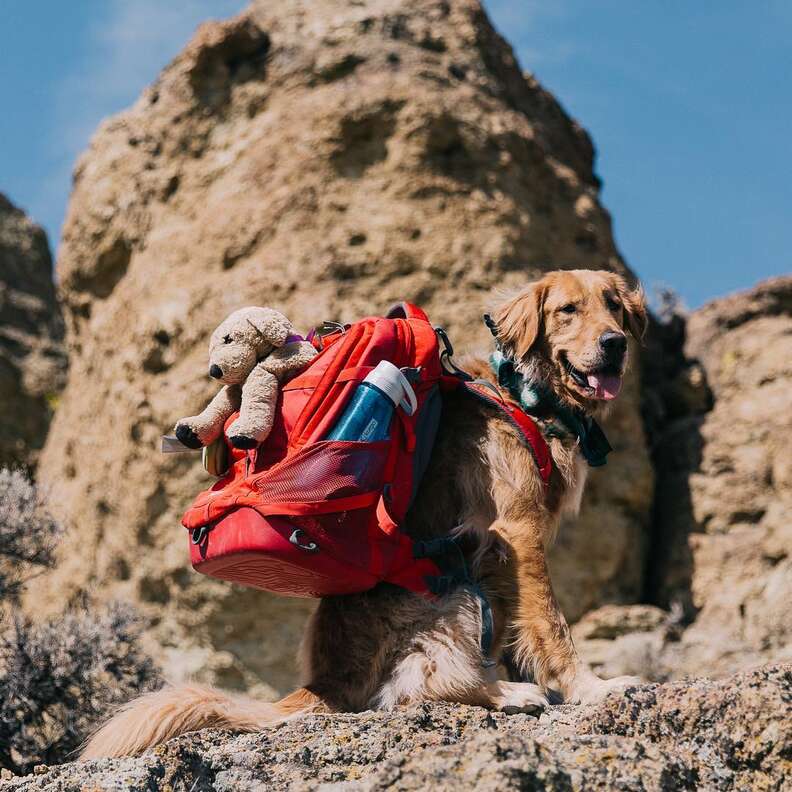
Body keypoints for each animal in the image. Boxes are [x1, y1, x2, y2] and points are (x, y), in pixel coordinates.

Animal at [82, 270, 648, 756]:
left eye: (614, 306)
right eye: (567, 310)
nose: (615, 343)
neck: (527, 397)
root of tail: (326, 681)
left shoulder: (506, 553)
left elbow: (521, 626)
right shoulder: (517, 529)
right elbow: (551, 623)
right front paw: (591, 687)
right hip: (455, 587)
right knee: (425, 686)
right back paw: (507, 694)